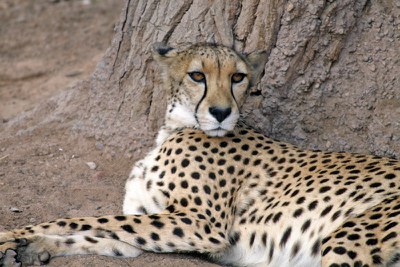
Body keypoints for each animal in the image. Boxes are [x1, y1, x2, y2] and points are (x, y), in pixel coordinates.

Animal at [0, 43, 400, 266]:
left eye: (238, 77)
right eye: (197, 75)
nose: (221, 112)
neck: (175, 127)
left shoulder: (200, 224)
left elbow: (88, 220)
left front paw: (15, 233)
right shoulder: (158, 220)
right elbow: (96, 231)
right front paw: (28, 245)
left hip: (348, 236)